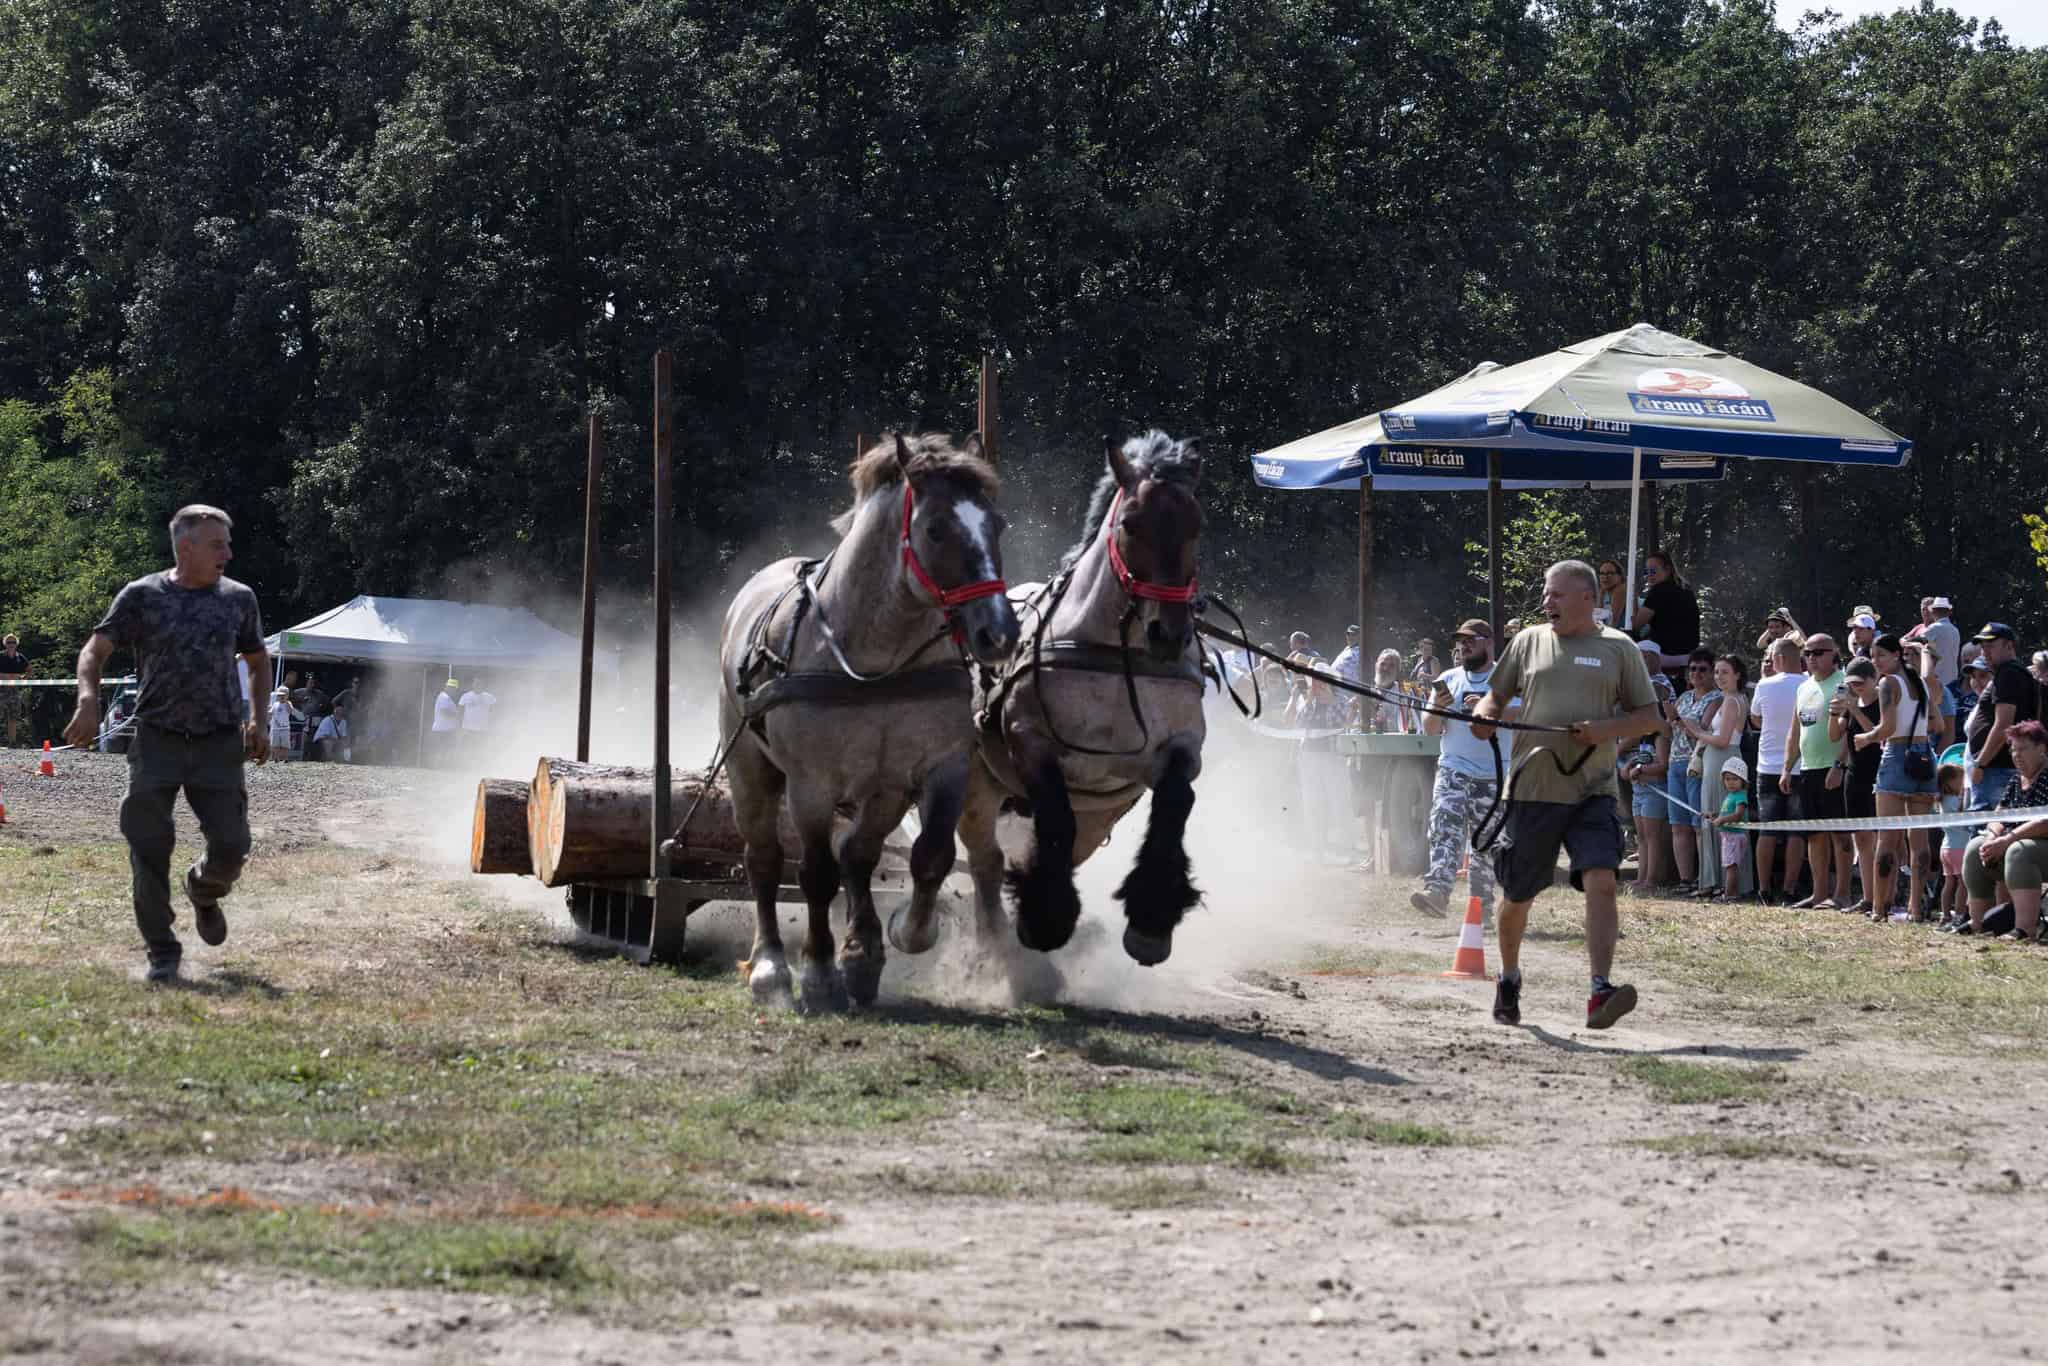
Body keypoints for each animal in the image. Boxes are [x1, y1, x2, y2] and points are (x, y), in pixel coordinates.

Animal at [716, 432, 1019, 1011]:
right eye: (935, 528)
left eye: (997, 524)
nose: (999, 632)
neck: (878, 659)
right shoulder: (810, 784)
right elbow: (814, 873)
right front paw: (818, 973)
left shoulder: (940, 769)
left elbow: (931, 856)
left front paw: (904, 932)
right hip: (749, 770)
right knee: (764, 859)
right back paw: (771, 966)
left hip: (882, 790)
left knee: (857, 853)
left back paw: (862, 955)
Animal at [892, 432, 1204, 966]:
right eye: (1131, 523)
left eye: (1197, 526)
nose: (1168, 634)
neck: (1115, 661)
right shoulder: (1031, 741)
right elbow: (1054, 813)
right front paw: (1045, 919)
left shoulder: (1183, 747)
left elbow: (1176, 802)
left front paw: (1151, 921)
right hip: (977, 790)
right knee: (986, 860)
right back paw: (995, 943)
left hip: (1099, 815)